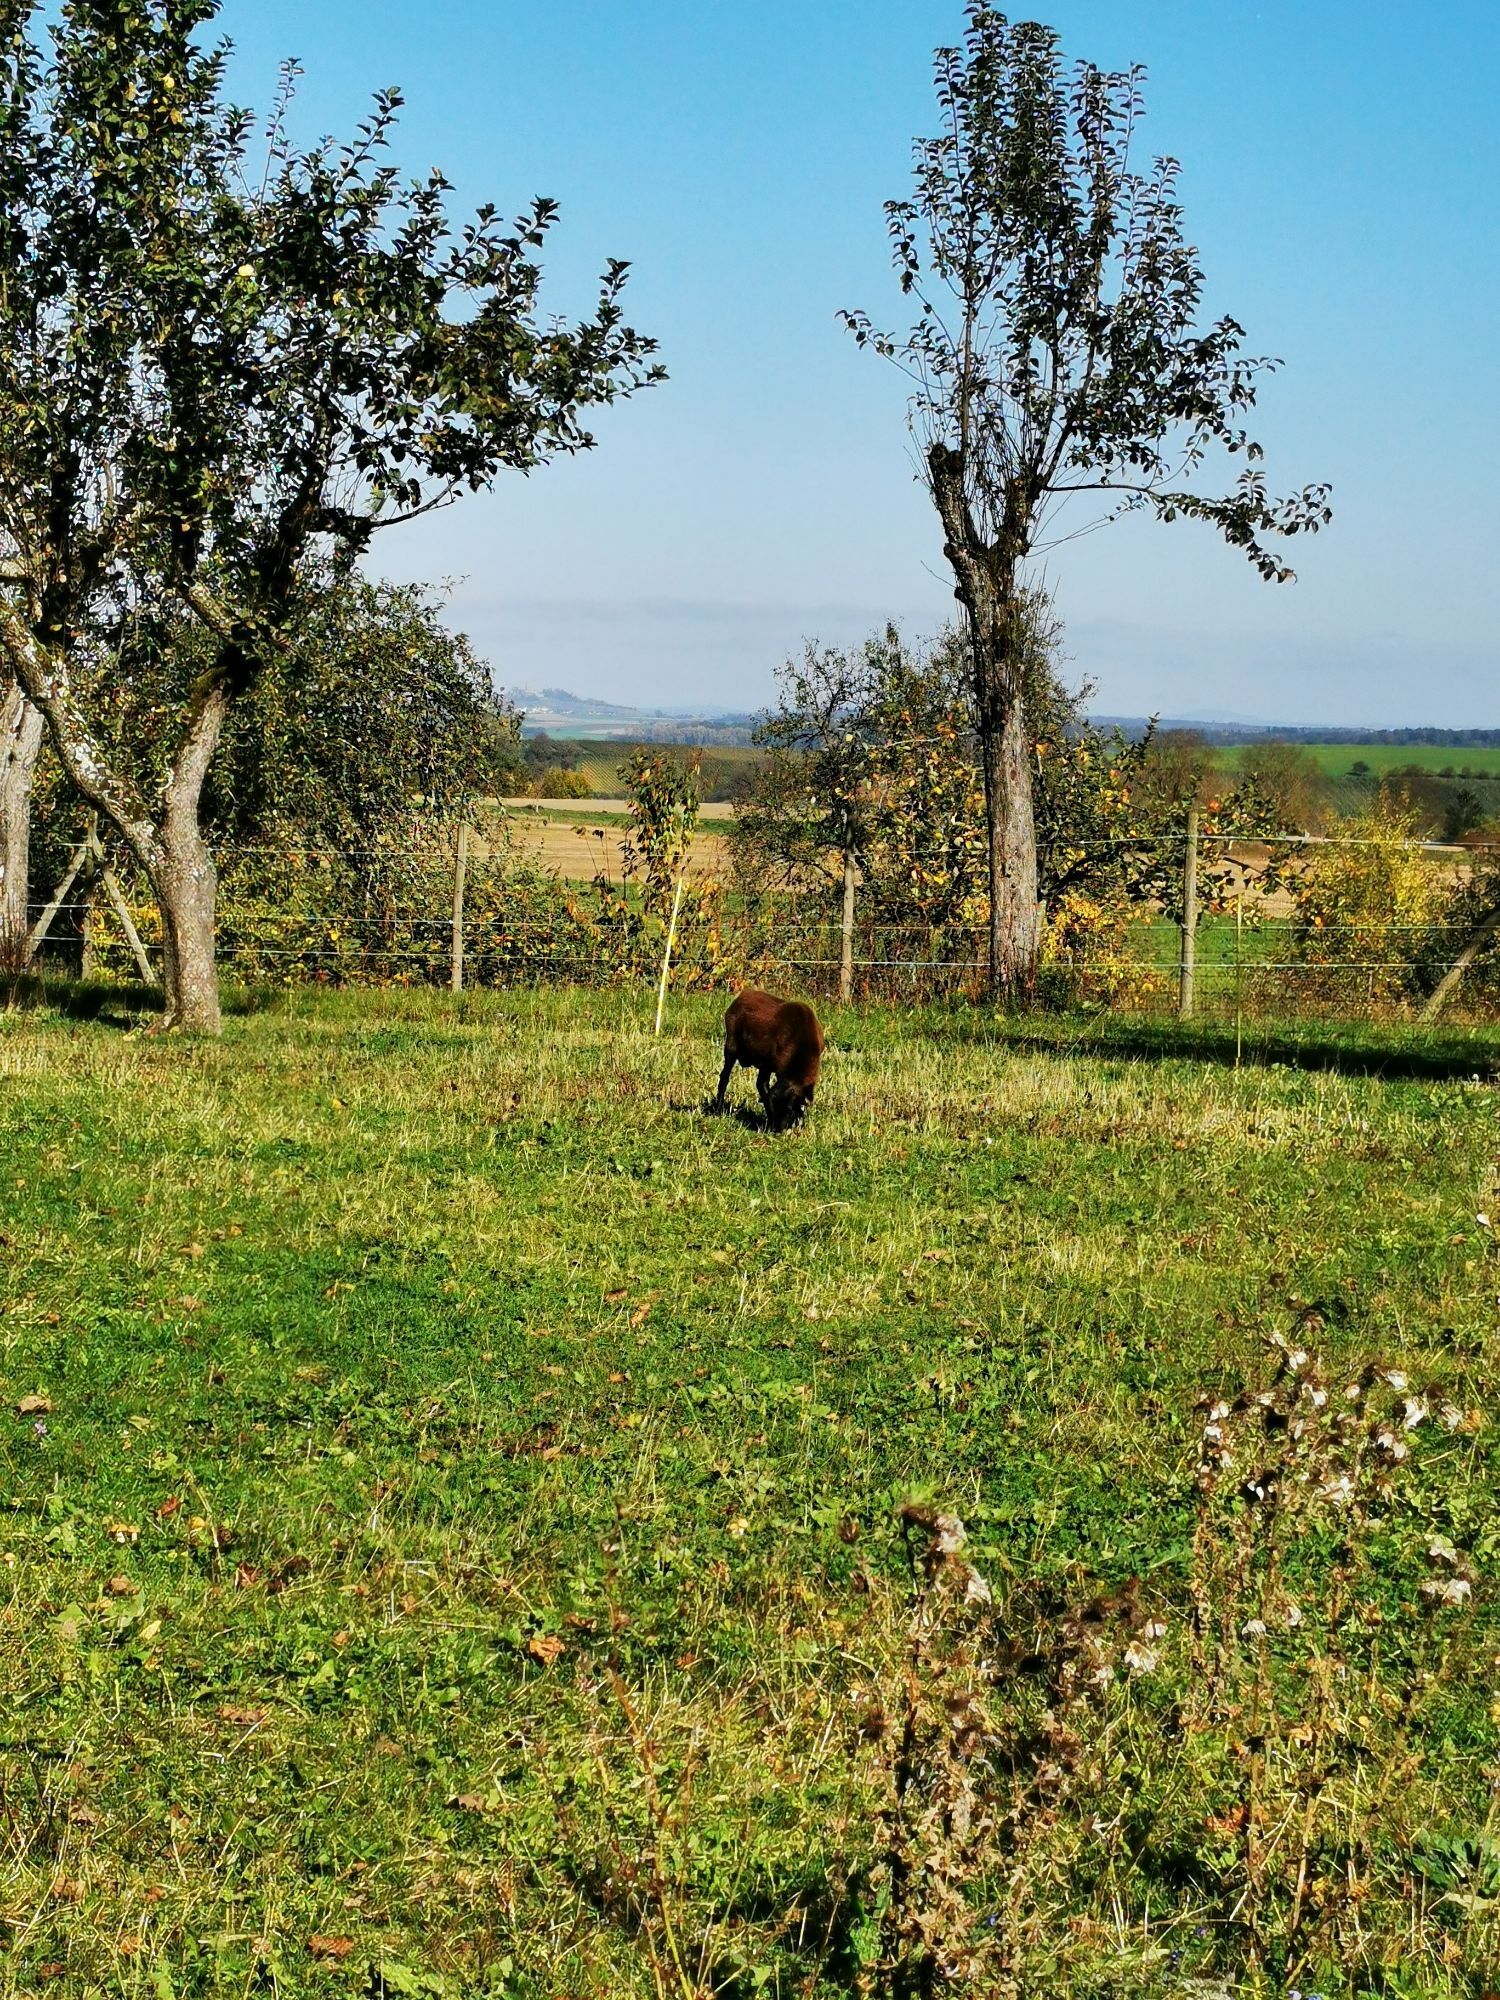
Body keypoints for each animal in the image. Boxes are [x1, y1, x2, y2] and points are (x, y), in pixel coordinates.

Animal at [713, 988, 824, 1131]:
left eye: (790, 1108)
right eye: (778, 1107)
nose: (779, 1129)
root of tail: (742, 996)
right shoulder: (767, 1064)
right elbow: (763, 1089)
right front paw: (770, 1123)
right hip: (731, 1047)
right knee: (724, 1077)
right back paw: (718, 1110)